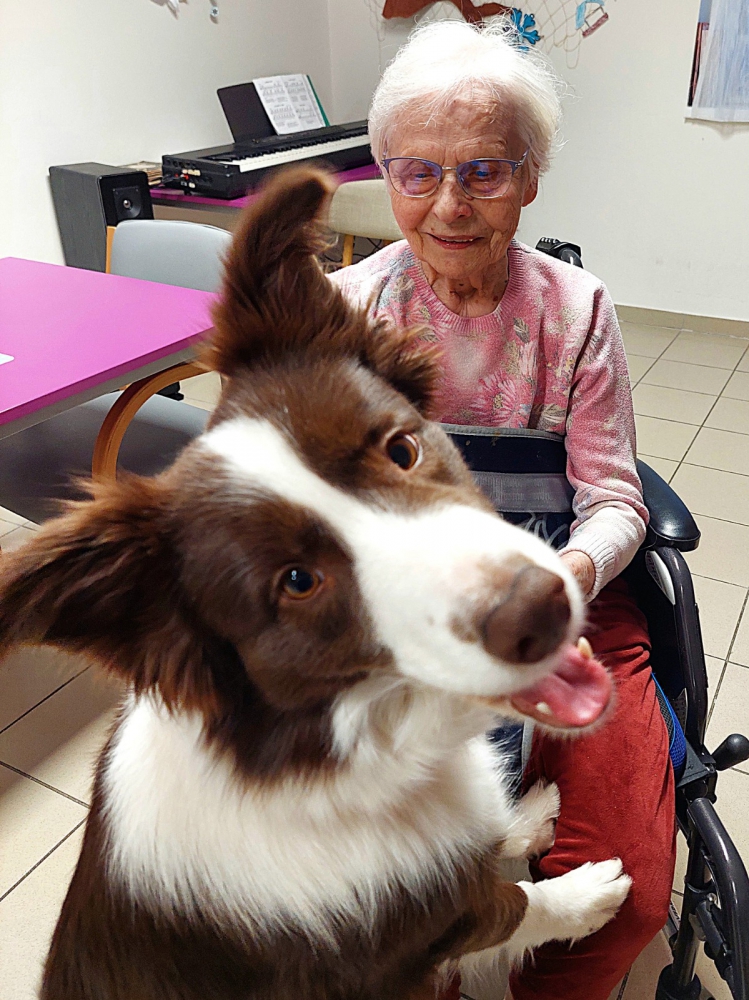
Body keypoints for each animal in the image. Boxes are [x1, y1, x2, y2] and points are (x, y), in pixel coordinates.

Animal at [0, 167, 629, 1000]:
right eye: (296, 582)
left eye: (401, 450)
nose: (542, 610)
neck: (338, 755)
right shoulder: (426, 934)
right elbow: (516, 906)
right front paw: (587, 893)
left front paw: (521, 815)